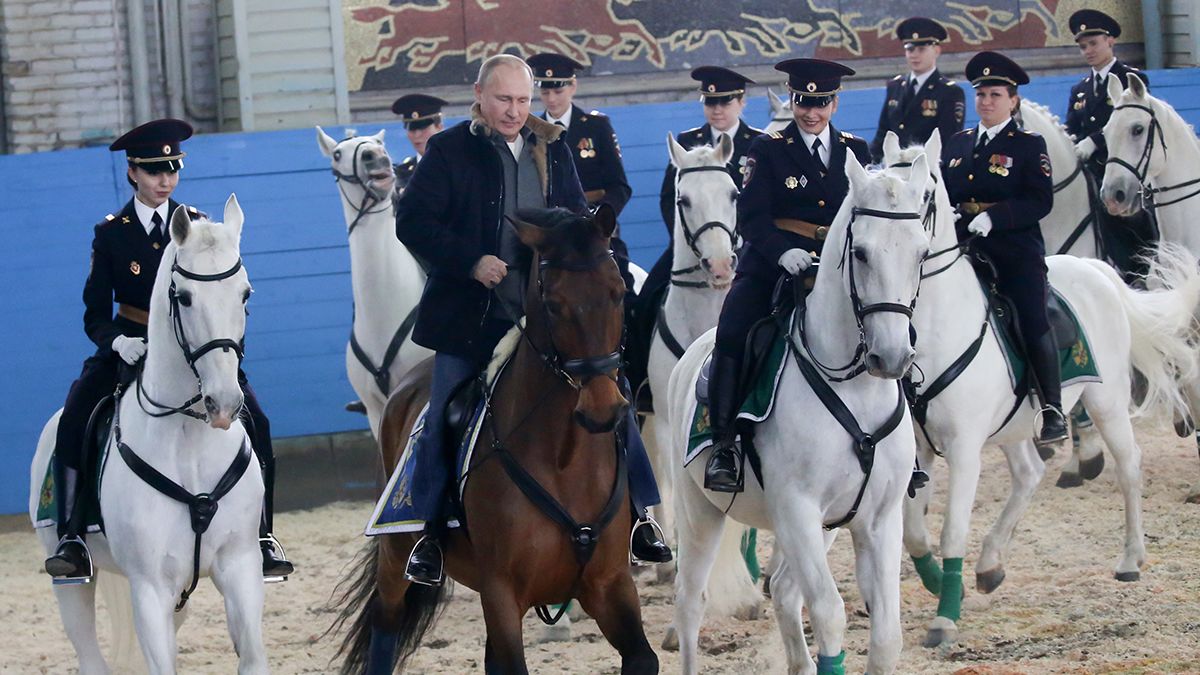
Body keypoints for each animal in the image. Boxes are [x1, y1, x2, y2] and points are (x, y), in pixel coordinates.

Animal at [30, 192, 270, 667]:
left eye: (245, 293)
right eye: (186, 297)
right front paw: (128, 345)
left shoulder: (240, 567)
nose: (223, 404)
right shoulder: (150, 588)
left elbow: (252, 657)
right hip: (69, 582)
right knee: (89, 653)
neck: (191, 443)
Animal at [331, 205, 657, 672]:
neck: (564, 458)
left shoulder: (610, 584)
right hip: (395, 553)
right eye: (553, 304)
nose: (602, 409)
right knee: (385, 621)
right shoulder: (502, 592)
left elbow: (643, 656)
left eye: (617, 292)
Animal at [672, 153, 931, 672]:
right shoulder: (797, 509)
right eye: (861, 254)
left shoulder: (878, 518)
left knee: (784, 590)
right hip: (700, 514)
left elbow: (886, 635)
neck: (856, 390)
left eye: (920, 253)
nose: (891, 358)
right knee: (691, 601)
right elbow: (830, 614)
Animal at [888, 128, 1200, 643]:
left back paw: (1130, 559)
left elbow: (951, 529)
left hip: (1106, 401)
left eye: (928, 191)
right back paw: (990, 564)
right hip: (1016, 424)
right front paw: (942, 583)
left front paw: (944, 617)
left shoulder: (965, 447)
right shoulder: (919, 445)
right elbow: (913, 531)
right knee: (1029, 473)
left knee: (1129, 465)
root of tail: (1096, 271)